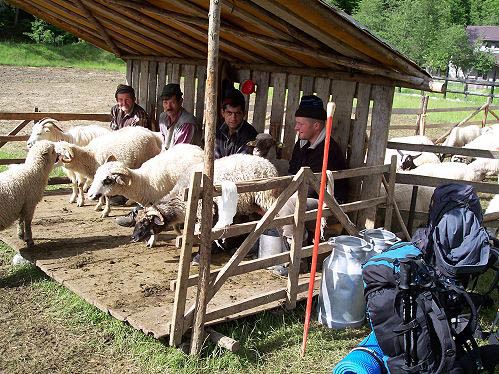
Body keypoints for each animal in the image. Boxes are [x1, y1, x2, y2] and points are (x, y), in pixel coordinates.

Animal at [132, 153, 282, 247]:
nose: (133, 237)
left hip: (267, 196)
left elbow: (200, 233)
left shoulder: (203, 211)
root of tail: (270, 165)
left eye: (145, 222)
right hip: (255, 204)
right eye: (137, 221)